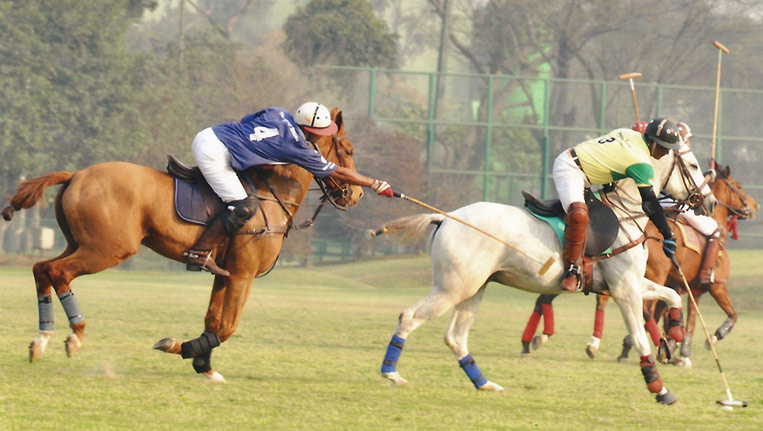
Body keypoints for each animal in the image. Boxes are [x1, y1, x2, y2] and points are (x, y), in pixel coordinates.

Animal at [1, 108, 364, 382]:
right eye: (347, 150)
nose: (357, 195)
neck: (273, 193)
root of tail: (75, 175)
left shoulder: (224, 273)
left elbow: (213, 321)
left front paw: (205, 367)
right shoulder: (243, 274)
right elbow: (228, 327)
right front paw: (178, 347)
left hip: (80, 243)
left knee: (41, 268)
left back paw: (40, 340)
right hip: (107, 250)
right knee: (59, 272)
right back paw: (74, 336)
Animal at [380, 141, 720, 404]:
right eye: (693, 163)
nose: (711, 202)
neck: (627, 212)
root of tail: (445, 219)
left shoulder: (630, 282)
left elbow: (671, 294)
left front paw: (675, 334)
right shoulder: (625, 288)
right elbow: (639, 337)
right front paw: (660, 388)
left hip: (474, 288)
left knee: (456, 337)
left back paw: (484, 383)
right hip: (453, 288)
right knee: (410, 317)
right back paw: (391, 373)